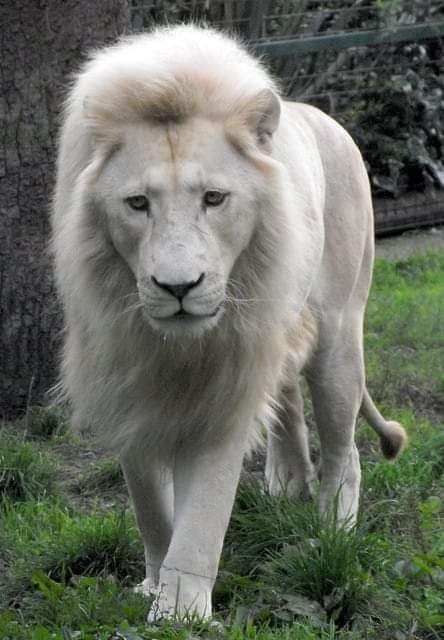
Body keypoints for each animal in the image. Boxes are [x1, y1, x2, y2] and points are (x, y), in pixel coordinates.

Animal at [52, 25, 407, 619]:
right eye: (137, 203)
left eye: (214, 198)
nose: (178, 287)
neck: (172, 345)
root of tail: (325, 118)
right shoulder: (126, 379)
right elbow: (150, 505)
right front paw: (154, 582)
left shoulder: (228, 381)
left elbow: (203, 513)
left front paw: (179, 611)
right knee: (289, 411)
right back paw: (287, 485)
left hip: (338, 339)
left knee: (345, 450)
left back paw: (333, 531)